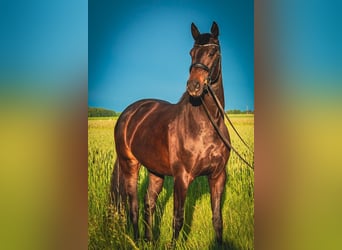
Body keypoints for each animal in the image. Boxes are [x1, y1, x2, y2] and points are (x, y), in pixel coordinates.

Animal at [111, 21, 231, 244]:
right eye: (191, 52)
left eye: (212, 52)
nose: (194, 86)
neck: (206, 125)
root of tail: (128, 113)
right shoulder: (181, 178)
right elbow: (178, 220)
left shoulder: (218, 176)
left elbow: (218, 220)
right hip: (129, 165)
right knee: (133, 206)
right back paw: (137, 241)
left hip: (155, 170)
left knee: (148, 203)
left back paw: (150, 240)